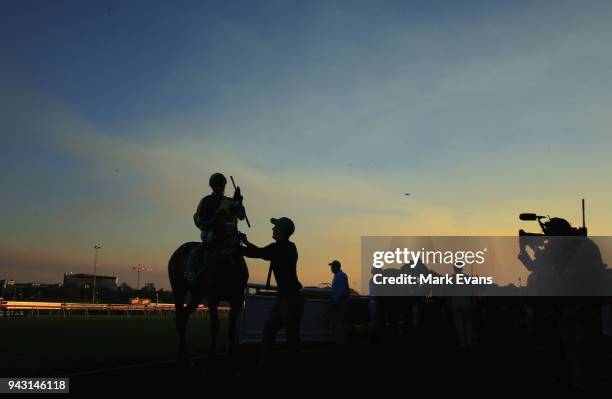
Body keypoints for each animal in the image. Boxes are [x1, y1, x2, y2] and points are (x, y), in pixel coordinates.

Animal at [169, 239, 247, 368]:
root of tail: (178, 251)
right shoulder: (213, 298)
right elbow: (215, 326)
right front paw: (212, 356)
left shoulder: (237, 299)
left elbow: (232, 329)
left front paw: (231, 356)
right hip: (179, 289)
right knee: (179, 318)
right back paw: (182, 358)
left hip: (196, 295)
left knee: (184, 317)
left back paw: (185, 357)